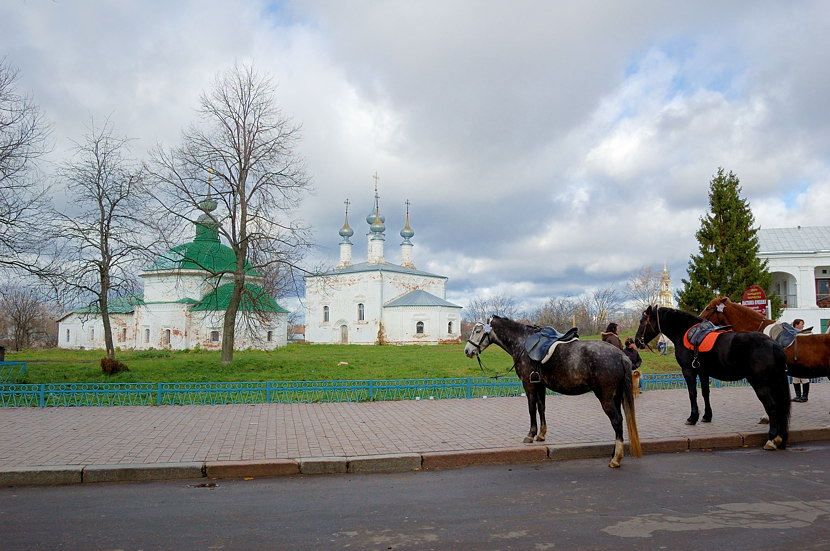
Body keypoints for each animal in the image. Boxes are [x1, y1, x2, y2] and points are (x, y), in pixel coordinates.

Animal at [636, 304, 792, 450]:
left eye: (642, 321)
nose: (637, 341)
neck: (684, 331)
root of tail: (773, 345)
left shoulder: (688, 371)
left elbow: (692, 394)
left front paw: (692, 418)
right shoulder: (703, 372)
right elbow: (706, 393)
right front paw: (706, 416)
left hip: (761, 384)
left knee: (772, 407)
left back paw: (771, 439)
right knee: (781, 408)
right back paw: (780, 438)